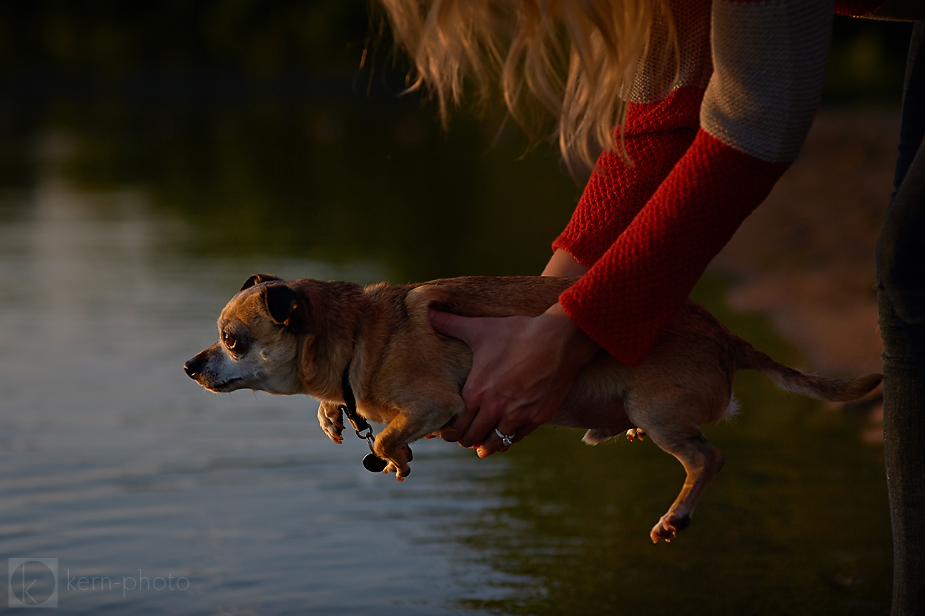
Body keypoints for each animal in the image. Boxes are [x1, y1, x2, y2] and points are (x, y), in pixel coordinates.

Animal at [182, 274, 880, 544]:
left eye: (231, 341)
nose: (189, 365)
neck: (357, 337)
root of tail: (725, 336)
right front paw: (333, 414)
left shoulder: (437, 401)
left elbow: (381, 440)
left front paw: (397, 454)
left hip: (661, 412)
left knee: (708, 459)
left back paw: (676, 516)